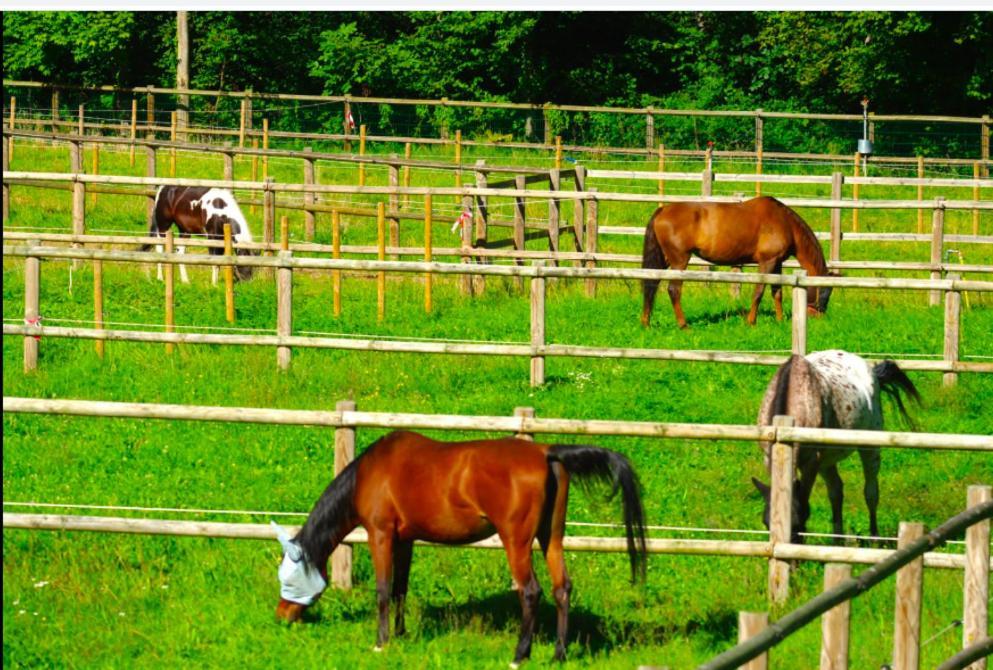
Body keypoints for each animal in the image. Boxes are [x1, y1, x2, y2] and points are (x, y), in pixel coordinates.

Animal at [272, 430, 648, 668]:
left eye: (287, 579)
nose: (281, 617)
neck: (373, 470)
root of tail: (545, 452)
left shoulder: (380, 535)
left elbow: (382, 590)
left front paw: (381, 642)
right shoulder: (405, 540)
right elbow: (399, 590)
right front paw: (401, 633)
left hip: (516, 542)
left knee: (531, 591)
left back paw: (519, 655)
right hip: (550, 538)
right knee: (562, 588)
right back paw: (558, 655)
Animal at [640, 196, 832, 330]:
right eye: (824, 292)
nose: (819, 317)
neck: (785, 223)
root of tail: (662, 210)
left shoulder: (777, 264)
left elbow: (777, 293)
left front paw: (780, 320)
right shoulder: (767, 262)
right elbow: (759, 292)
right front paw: (751, 322)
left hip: (665, 259)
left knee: (651, 285)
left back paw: (646, 323)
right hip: (679, 261)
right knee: (673, 290)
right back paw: (683, 325)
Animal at [752, 352, 924, 544]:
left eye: (797, 524)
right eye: (765, 523)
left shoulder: (811, 463)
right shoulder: (772, 458)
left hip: (870, 449)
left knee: (871, 492)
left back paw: (874, 538)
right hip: (827, 461)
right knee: (836, 491)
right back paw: (837, 540)